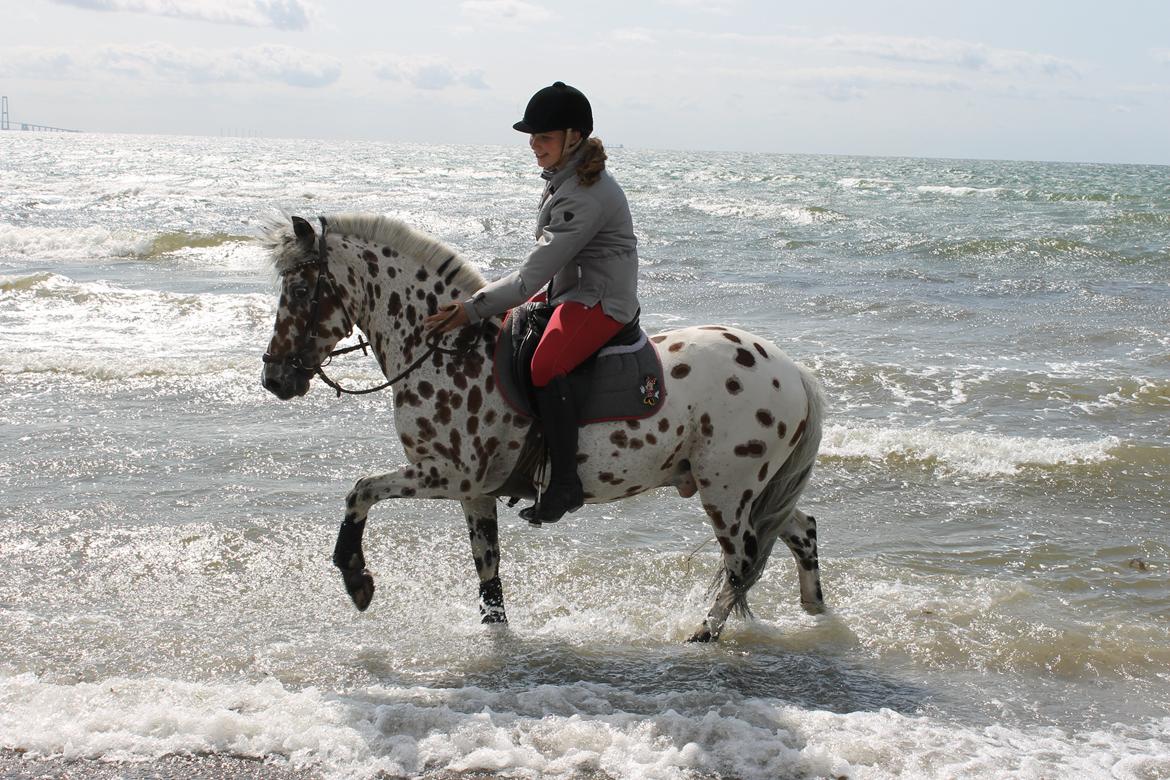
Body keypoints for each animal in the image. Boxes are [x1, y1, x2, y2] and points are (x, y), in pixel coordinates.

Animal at [260, 211, 828, 640]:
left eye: (303, 288)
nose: (274, 377)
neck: (448, 351)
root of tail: (792, 371)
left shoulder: (448, 474)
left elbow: (360, 491)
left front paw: (356, 579)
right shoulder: (474, 493)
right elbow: (488, 574)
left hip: (726, 491)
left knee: (741, 562)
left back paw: (704, 634)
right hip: (752, 492)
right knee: (798, 531)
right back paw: (816, 612)